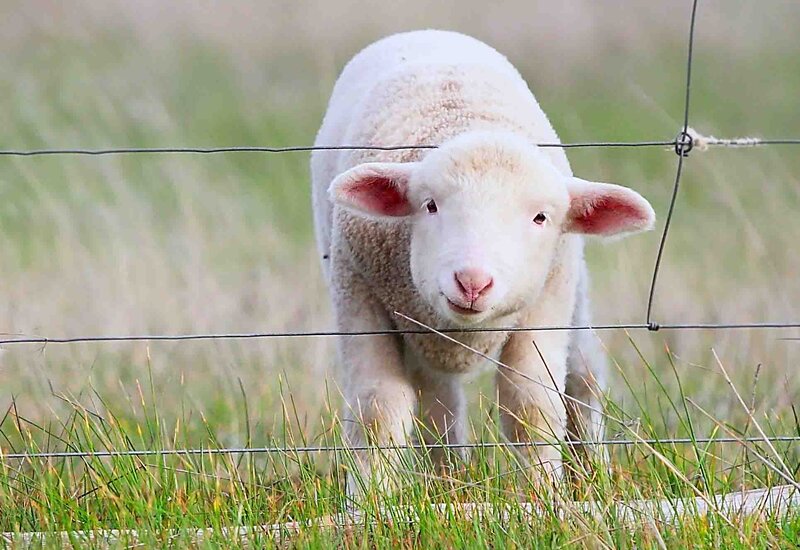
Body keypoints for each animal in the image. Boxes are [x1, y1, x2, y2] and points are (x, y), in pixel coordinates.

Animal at [311, 30, 655, 494]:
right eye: (430, 205)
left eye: (541, 217)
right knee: (439, 403)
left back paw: (590, 469)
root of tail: (429, 32)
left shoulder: (545, 304)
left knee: (583, 377)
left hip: (574, 301)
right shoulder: (359, 294)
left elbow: (530, 406)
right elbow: (378, 409)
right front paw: (368, 499)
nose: (472, 282)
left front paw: (545, 494)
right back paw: (447, 478)